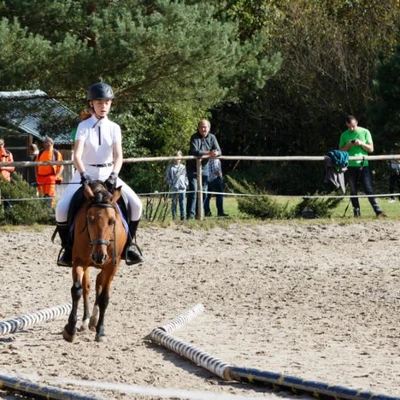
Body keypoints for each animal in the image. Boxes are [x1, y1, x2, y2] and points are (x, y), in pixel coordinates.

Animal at [63, 181, 127, 340]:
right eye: (90, 219)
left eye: (112, 221)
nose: (99, 256)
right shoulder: (79, 262)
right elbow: (77, 290)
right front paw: (70, 329)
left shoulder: (112, 266)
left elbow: (104, 298)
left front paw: (101, 331)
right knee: (87, 287)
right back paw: (86, 321)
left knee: (99, 281)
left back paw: (93, 320)